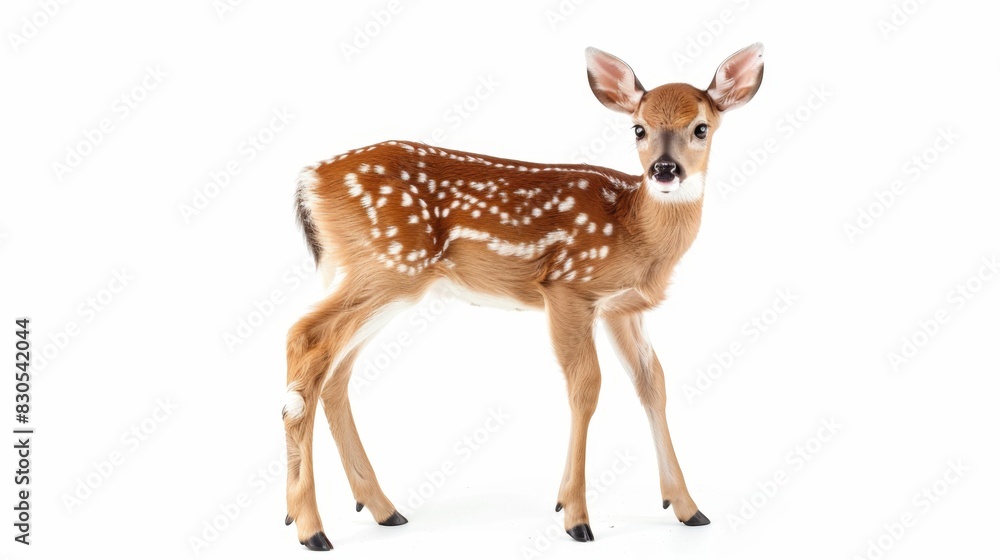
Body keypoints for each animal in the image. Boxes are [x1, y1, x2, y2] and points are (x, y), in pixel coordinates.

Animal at [282, 43, 764, 551]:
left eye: (701, 127)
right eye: (639, 128)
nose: (664, 170)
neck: (635, 230)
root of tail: (309, 179)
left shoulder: (622, 308)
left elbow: (653, 384)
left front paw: (688, 508)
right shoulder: (568, 286)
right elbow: (586, 387)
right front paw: (575, 516)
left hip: (385, 279)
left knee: (334, 373)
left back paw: (381, 510)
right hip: (389, 265)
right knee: (305, 338)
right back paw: (311, 528)